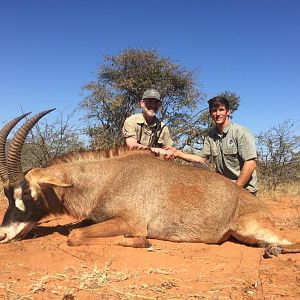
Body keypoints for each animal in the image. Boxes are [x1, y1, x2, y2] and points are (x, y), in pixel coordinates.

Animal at [0, 110, 300, 258]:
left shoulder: (130, 222)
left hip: (249, 228)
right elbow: (78, 229)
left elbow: (75, 236)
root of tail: (259, 206)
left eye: (27, 192)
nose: (2, 235)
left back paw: (274, 250)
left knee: (289, 240)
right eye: (7, 194)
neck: (109, 177)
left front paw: (142, 243)